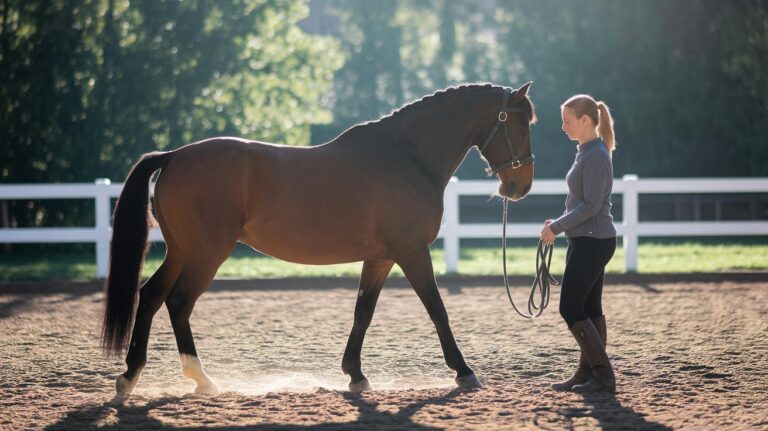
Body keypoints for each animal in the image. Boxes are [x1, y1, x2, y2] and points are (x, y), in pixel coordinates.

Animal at [102, 82, 536, 399]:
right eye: (519, 125)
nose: (521, 187)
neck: (407, 156)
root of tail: (175, 155)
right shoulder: (411, 252)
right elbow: (437, 310)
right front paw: (464, 372)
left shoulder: (380, 258)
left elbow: (363, 312)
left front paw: (355, 375)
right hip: (206, 255)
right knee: (178, 302)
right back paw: (200, 378)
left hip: (182, 252)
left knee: (150, 295)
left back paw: (131, 376)